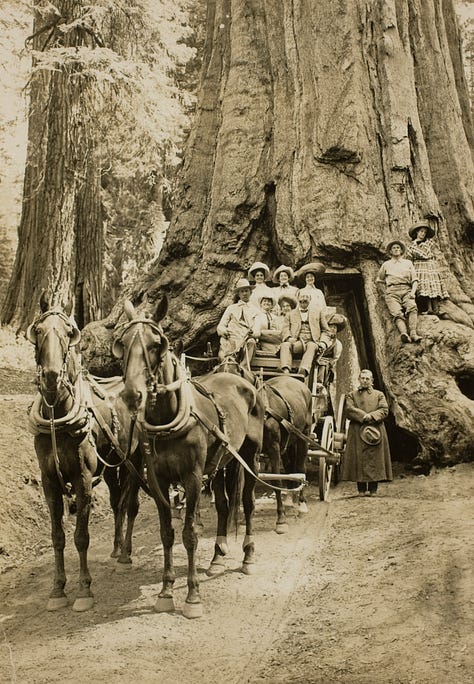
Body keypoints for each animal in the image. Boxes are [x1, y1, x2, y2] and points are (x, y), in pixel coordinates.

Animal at [26, 296, 142, 612]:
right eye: (38, 331)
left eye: (69, 333)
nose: (52, 376)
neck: (58, 417)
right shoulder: (49, 482)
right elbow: (57, 537)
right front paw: (57, 589)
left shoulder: (83, 479)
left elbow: (81, 537)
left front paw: (83, 590)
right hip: (112, 466)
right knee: (116, 503)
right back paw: (116, 548)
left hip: (134, 460)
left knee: (131, 506)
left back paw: (125, 555)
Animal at [113, 300, 264, 620]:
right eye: (122, 344)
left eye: (156, 344)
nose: (132, 395)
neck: (167, 420)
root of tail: (240, 377)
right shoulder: (157, 479)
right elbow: (167, 533)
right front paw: (166, 590)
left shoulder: (192, 477)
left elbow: (190, 533)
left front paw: (192, 596)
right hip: (221, 461)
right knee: (223, 505)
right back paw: (217, 557)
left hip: (250, 456)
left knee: (247, 503)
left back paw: (248, 555)